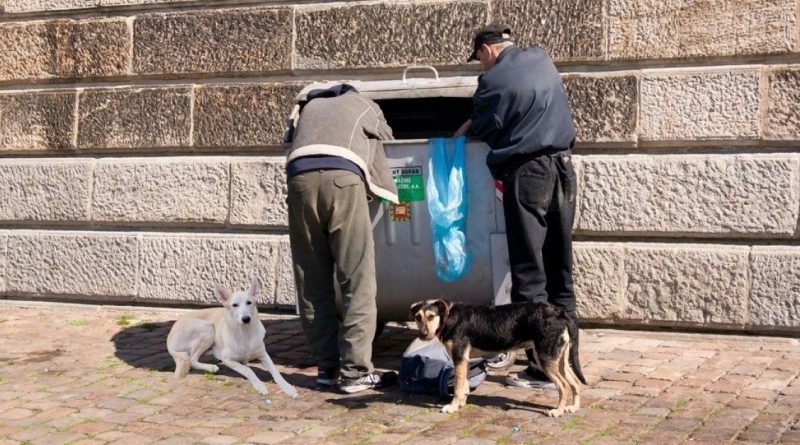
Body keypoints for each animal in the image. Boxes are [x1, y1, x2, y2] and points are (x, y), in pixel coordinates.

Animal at [166, 280, 300, 398]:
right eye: (235, 305)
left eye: (249, 302)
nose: (246, 319)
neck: (245, 334)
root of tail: (169, 335)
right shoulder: (228, 360)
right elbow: (247, 369)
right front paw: (260, 385)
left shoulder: (263, 354)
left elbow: (276, 372)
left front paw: (288, 388)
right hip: (207, 328)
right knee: (192, 359)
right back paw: (210, 367)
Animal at [410, 298, 584, 416]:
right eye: (418, 317)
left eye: (431, 316)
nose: (423, 334)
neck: (448, 317)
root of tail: (558, 313)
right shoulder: (464, 360)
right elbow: (464, 384)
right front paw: (461, 404)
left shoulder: (459, 357)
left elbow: (458, 387)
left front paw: (452, 407)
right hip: (559, 358)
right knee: (575, 382)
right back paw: (573, 407)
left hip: (544, 358)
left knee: (563, 385)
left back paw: (558, 411)